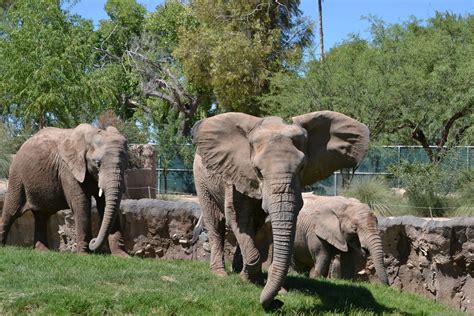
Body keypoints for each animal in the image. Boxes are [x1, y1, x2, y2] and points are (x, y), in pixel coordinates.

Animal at [0, 122, 129, 256]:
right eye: (97, 163)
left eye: (126, 163)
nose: (93, 242)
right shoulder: (67, 169)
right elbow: (81, 204)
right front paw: (84, 255)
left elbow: (104, 205)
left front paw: (122, 256)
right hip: (17, 175)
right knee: (12, 210)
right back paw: (3, 246)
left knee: (42, 215)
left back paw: (43, 251)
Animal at [193, 111, 370, 308]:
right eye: (257, 171)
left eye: (302, 168)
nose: (277, 303)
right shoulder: (236, 175)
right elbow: (238, 218)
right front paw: (250, 280)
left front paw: (267, 285)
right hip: (201, 179)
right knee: (215, 221)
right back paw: (220, 273)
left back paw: (238, 269)